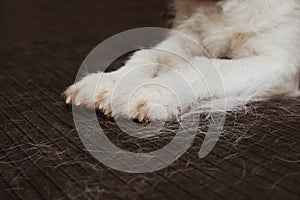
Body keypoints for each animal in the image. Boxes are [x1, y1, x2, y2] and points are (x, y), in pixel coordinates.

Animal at [65, 0, 300, 121]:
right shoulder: (186, 39)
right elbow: (149, 54)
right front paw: (108, 82)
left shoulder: (279, 62)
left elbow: (204, 66)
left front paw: (149, 91)